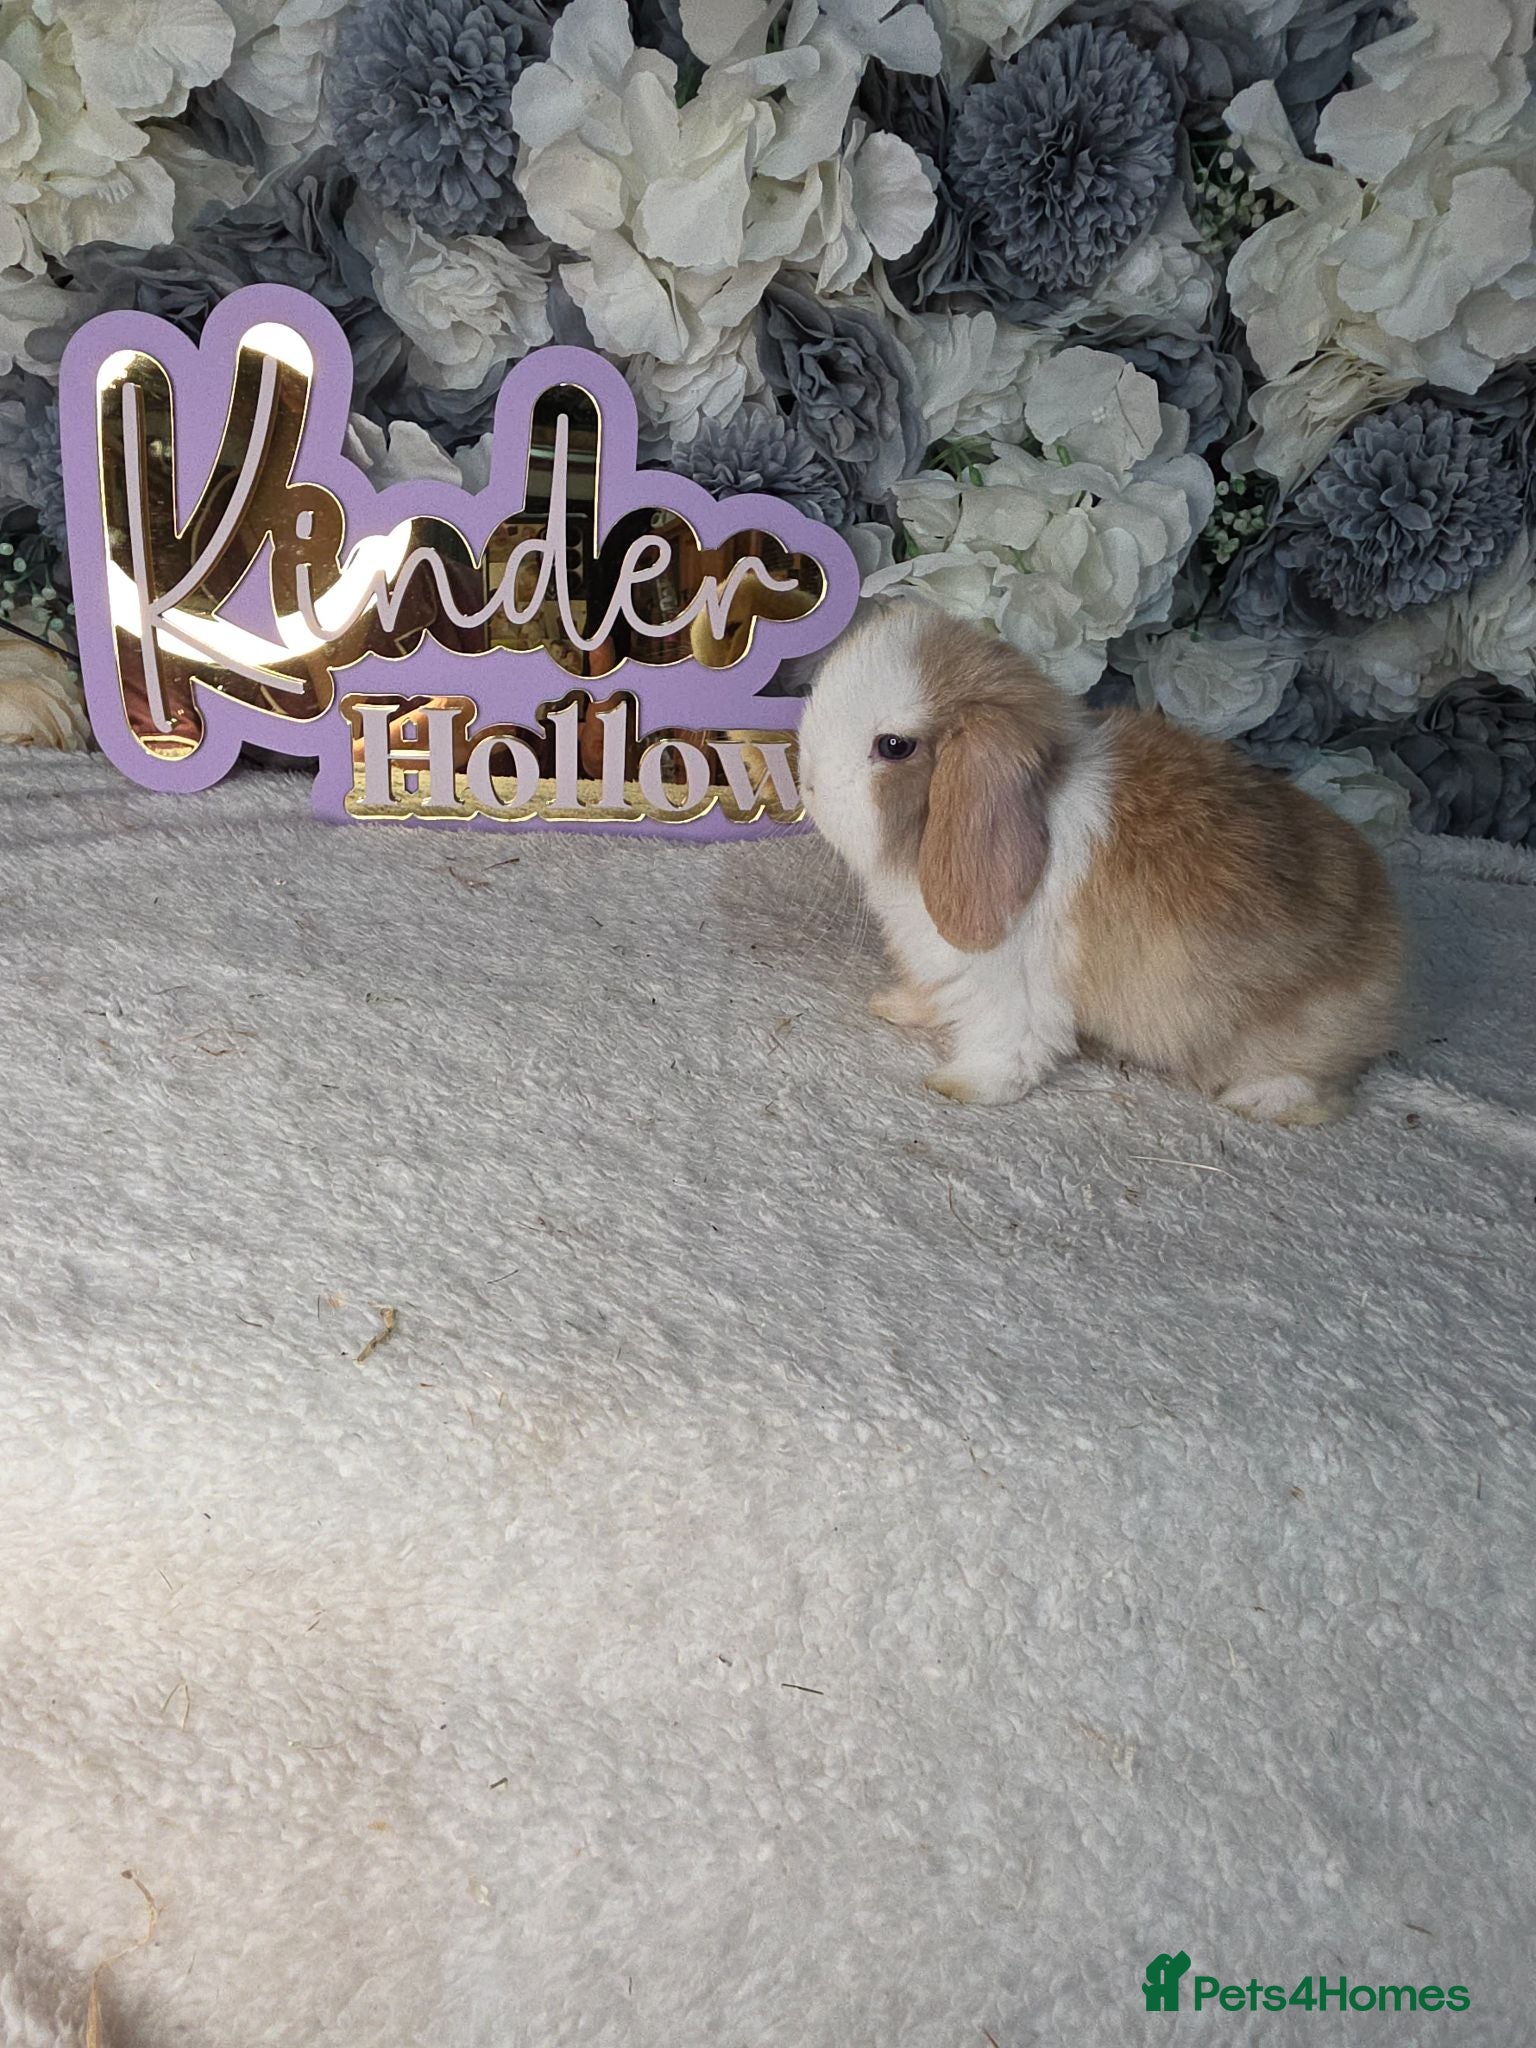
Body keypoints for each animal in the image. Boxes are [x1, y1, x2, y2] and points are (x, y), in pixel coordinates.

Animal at [796, 603, 1403, 1125]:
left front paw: (962, 1085)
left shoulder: (1015, 987)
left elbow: (1008, 1048)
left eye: (894, 746)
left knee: (1317, 1088)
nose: (808, 785)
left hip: (1298, 1032)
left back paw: (1257, 1100)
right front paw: (893, 1006)